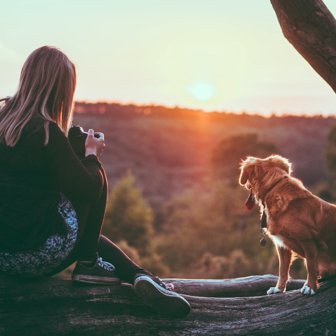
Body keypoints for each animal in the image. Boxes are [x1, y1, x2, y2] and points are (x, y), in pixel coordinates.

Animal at [238, 154, 336, 296]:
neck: (273, 188)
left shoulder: (308, 240)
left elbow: (311, 266)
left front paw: (310, 287)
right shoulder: (282, 245)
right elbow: (282, 270)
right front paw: (279, 288)